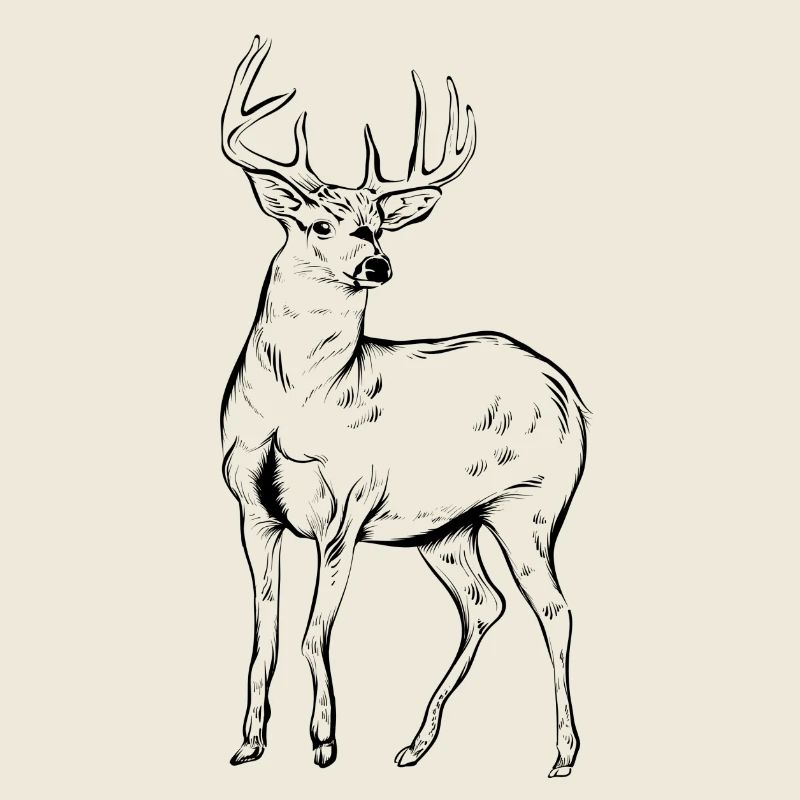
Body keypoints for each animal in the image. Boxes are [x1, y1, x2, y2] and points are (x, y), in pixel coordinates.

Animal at [219, 36, 589, 778]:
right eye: (319, 222)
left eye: (381, 226)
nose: (377, 266)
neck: (296, 405)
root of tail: (571, 393)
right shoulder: (252, 509)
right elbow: (265, 635)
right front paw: (249, 742)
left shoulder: (347, 505)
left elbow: (312, 634)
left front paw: (324, 743)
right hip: (446, 527)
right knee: (485, 605)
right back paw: (415, 744)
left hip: (532, 505)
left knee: (555, 609)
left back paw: (563, 754)